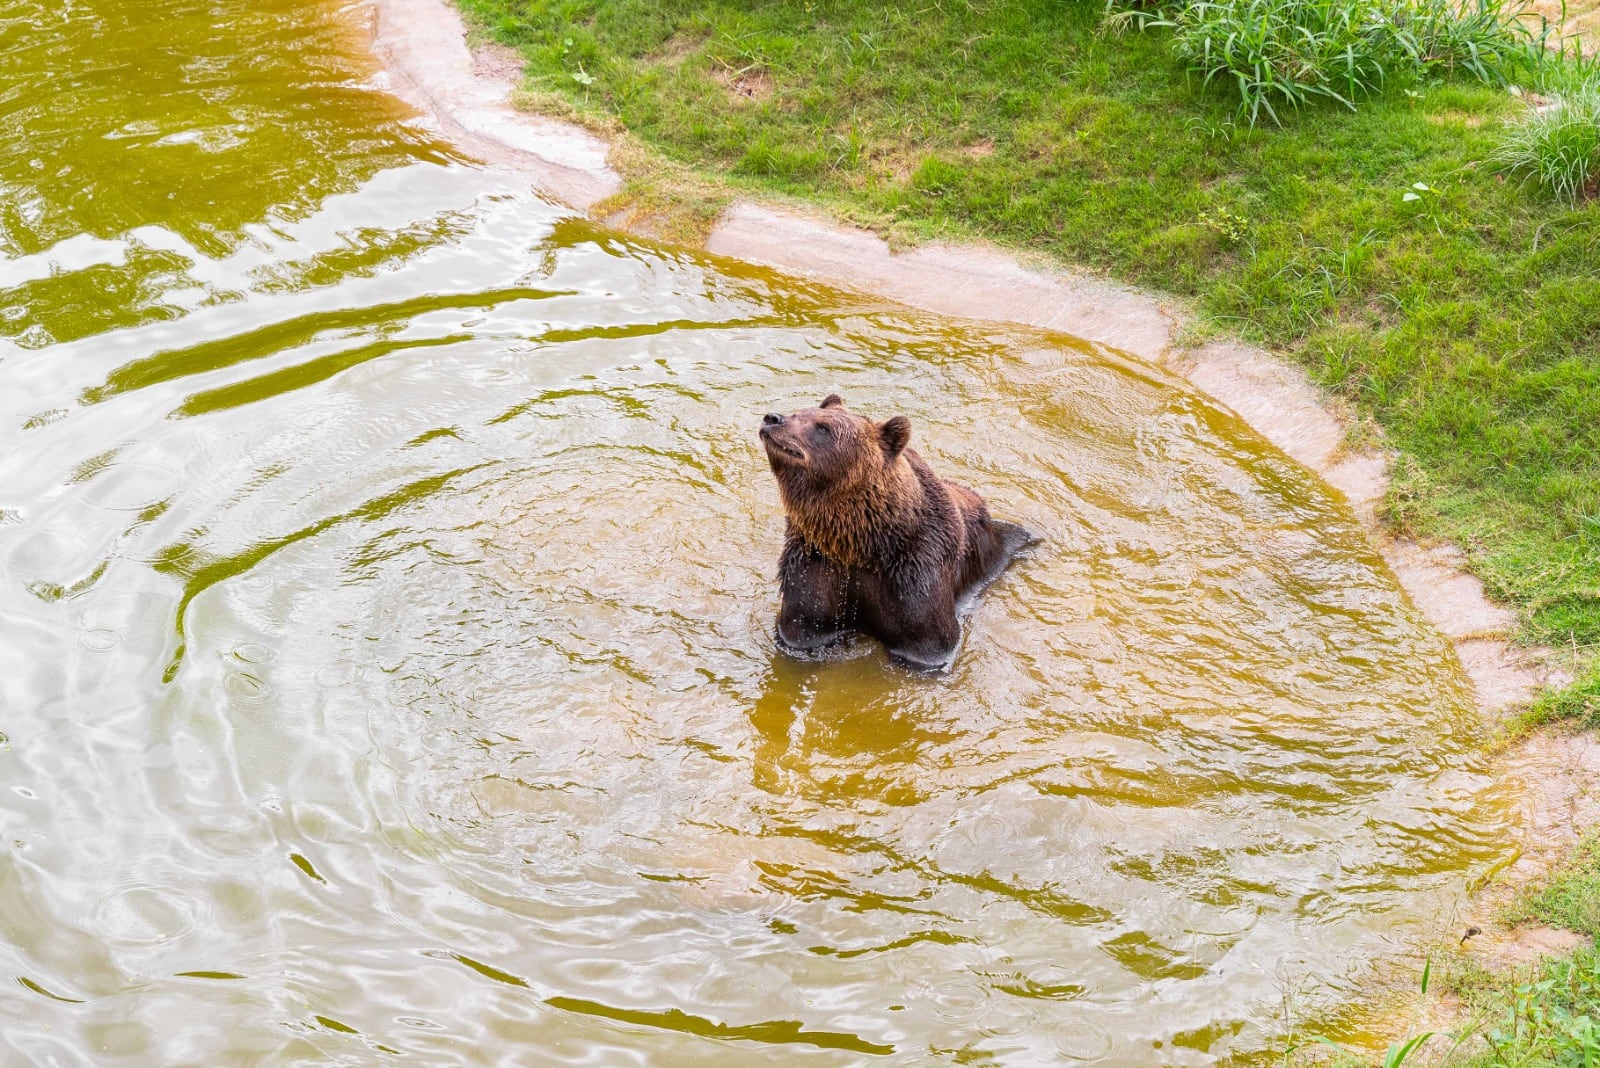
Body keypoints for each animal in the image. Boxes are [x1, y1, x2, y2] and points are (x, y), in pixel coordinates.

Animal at [758, 394, 1036, 671]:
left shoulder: (915, 573)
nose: (773, 418)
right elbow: (801, 626)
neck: (859, 543)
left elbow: (928, 642)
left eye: (823, 427)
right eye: (799, 412)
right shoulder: (815, 563)